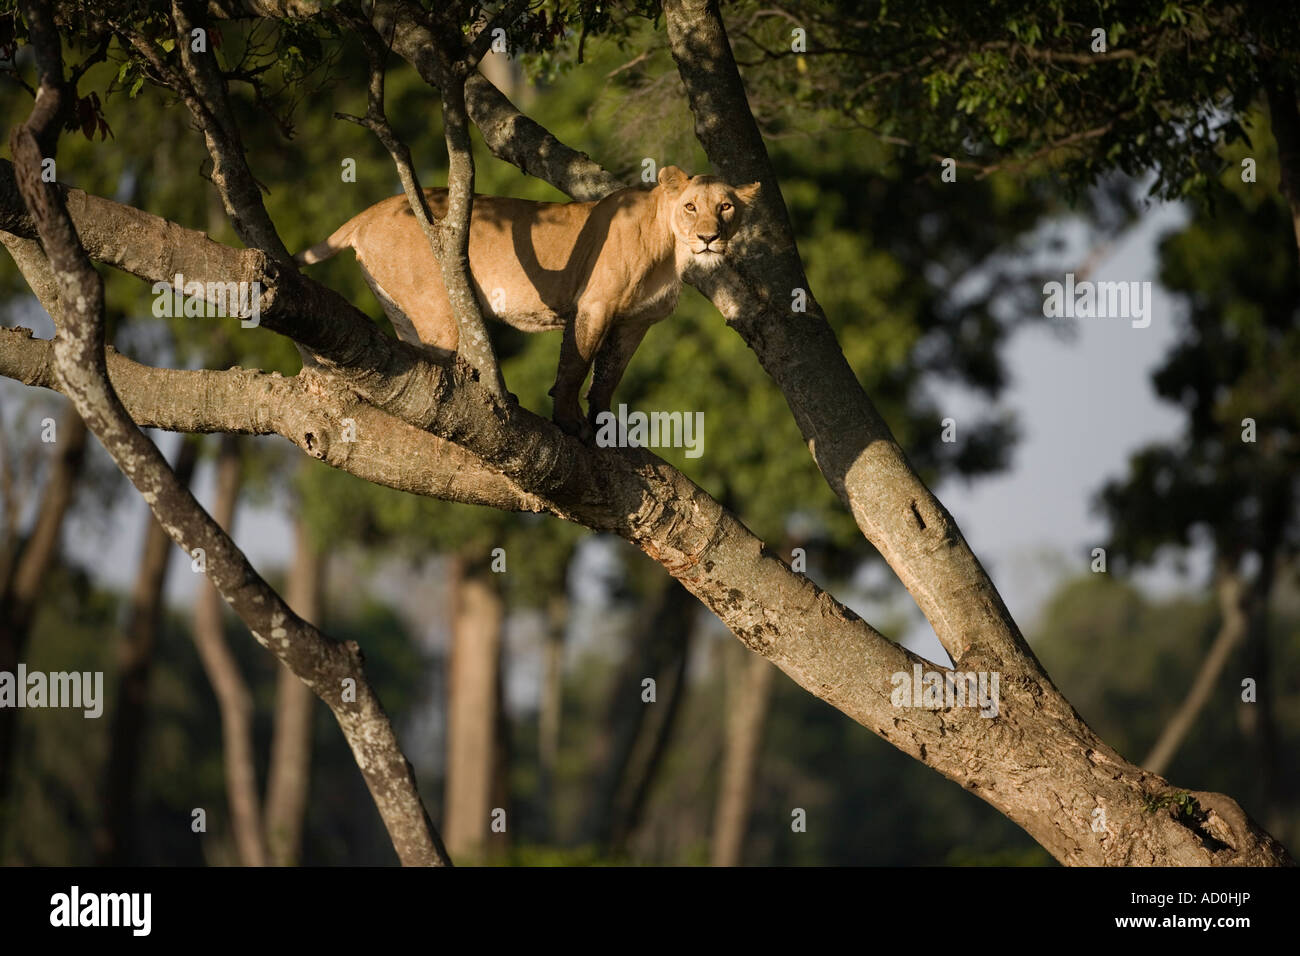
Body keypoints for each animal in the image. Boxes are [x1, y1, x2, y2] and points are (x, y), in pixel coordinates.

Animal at [295, 165, 759, 439]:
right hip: (436, 307)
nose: (709, 237)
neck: (671, 252)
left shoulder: (635, 323)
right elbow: (576, 366)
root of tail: (372, 211)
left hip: (401, 309)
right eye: (691, 206)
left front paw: (605, 426)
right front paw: (569, 422)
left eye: (725, 206)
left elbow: (609, 375)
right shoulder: (594, 305)